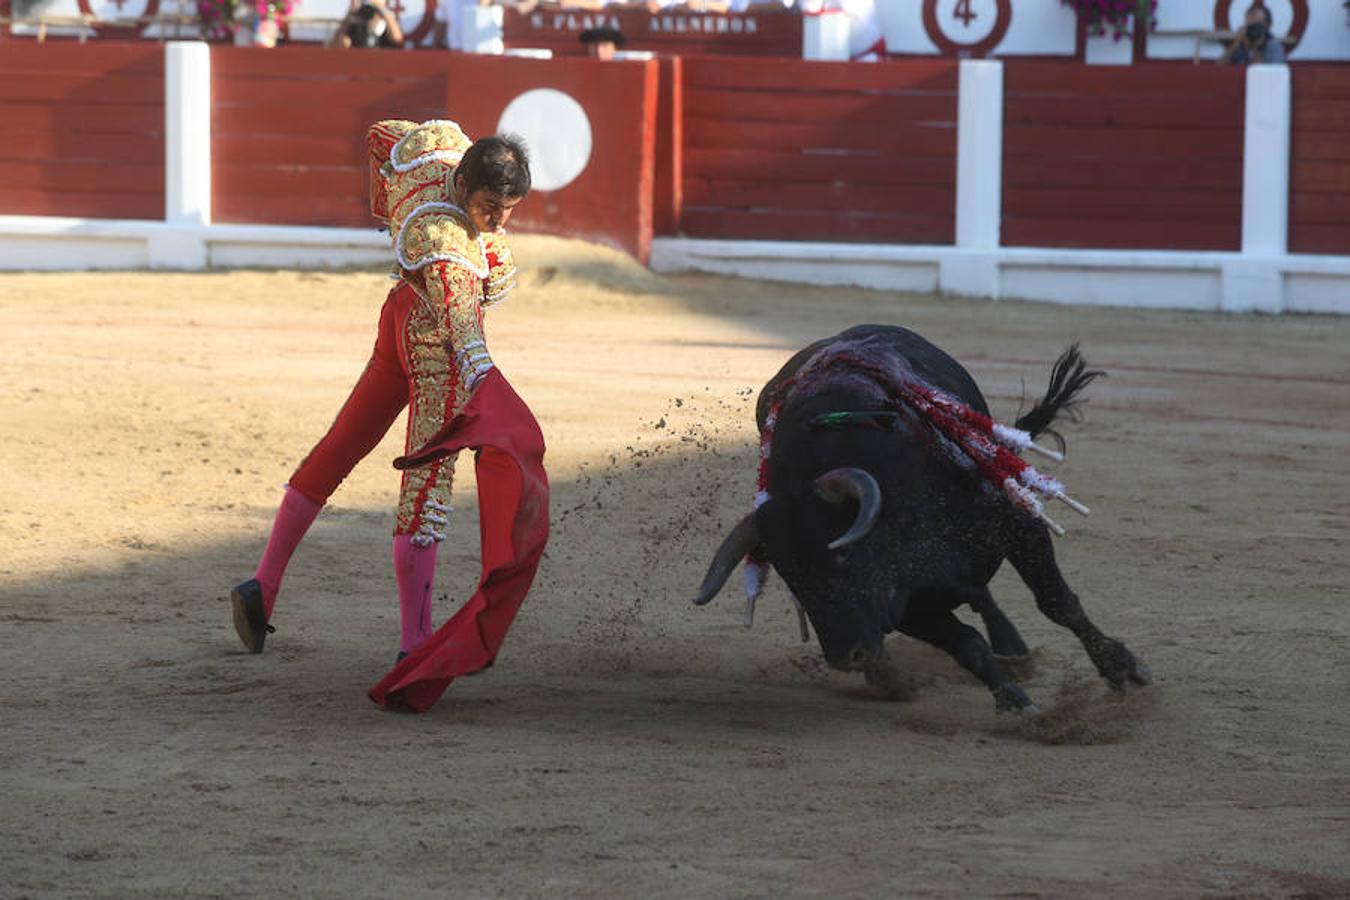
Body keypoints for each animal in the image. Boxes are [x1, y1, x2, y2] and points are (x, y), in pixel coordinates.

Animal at [696, 323, 1150, 712]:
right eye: (790, 576)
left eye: (842, 557)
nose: (847, 656)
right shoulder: (906, 604)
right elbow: (967, 645)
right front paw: (1013, 702)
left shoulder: (1017, 526)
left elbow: (1058, 603)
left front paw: (1122, 669)